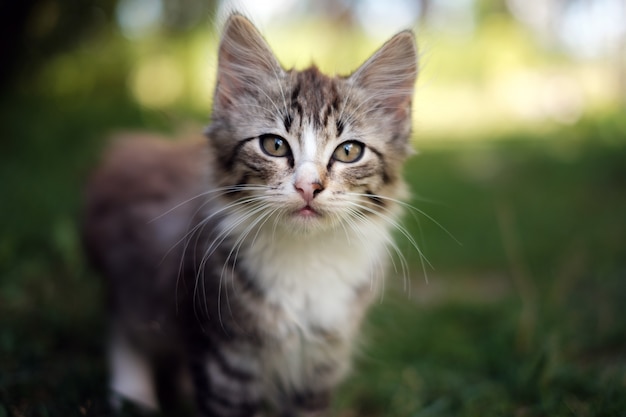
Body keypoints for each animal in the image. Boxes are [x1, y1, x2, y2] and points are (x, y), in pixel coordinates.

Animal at [81, 13, 414, 416]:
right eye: (274, 145)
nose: (309, 187)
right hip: (135, 272)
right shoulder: (223, 353)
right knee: (122, 319)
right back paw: (132, 394)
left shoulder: (320, 362)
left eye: (349, 151)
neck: (304, 260)